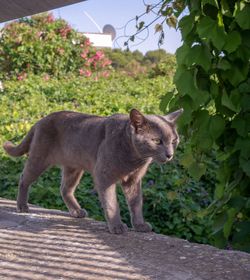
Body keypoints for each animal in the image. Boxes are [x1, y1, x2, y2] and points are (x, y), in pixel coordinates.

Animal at [3, 109, 184, 234]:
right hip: (39, 158)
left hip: (74, 167)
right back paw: (22, 206)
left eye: (174, 140)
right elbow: (111, 203)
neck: (135, 159)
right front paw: (117, 226)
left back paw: (77, 211)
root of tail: (40, 120)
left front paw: (140, 225)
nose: (170, 154)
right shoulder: (104, 176)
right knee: (24, 179)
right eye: (157, 141)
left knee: (65, 189)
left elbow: (136, 203)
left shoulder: (133, 181)